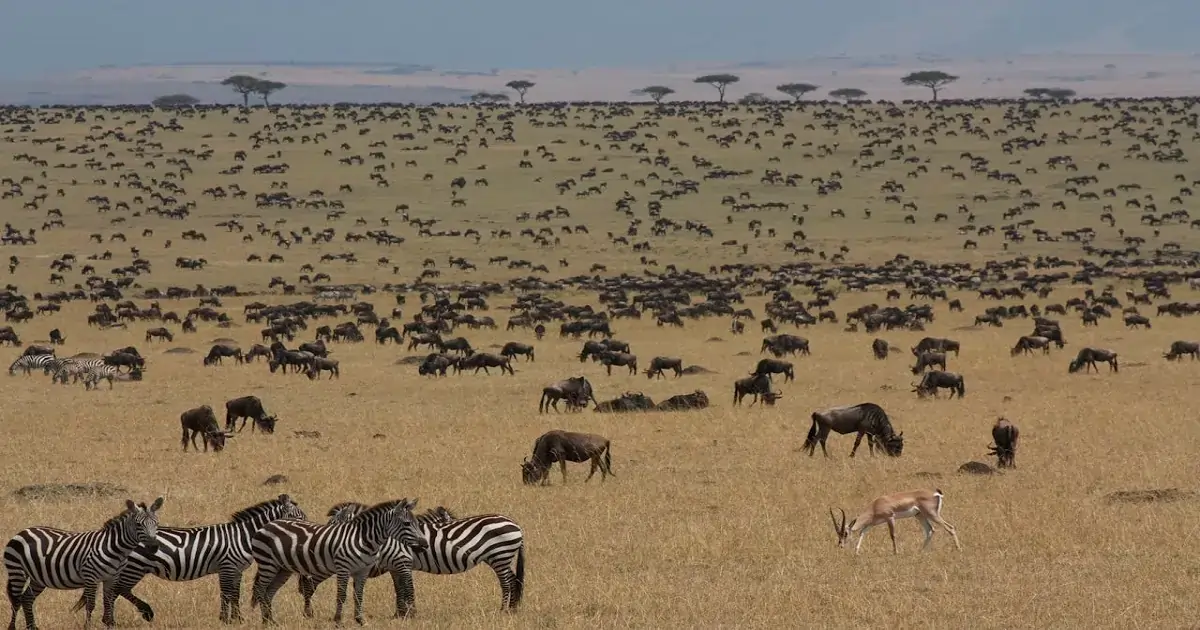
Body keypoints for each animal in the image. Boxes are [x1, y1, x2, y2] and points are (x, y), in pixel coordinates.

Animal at [4, 498, 163, 630]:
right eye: (138, 524)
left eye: (156, 523)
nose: (154, 546)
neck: (115, 549)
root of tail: (24, 531)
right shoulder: (91, 577)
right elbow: (90, 605)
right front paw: (88, 627)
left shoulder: (111, 578)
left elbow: (108, 603)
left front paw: (110, 624)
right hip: (17, 571)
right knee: (16, 601)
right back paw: (12, 628)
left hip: (38, 577)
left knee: (27, 599)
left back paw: (32, 627)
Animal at [97, 494, 307, 626]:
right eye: (300, 517)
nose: (307, 533)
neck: (243, 536)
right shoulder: (227, 566)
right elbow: (226, 594)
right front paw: (225, 620)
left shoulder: (237, 569)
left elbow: (235, 594)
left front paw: (237, 619)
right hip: (135, 567)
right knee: (118, 590)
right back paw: (129, 616)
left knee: (116, 590)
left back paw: (112, 619)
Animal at [249, 498, 427, 626]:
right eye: (407, 523)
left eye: (417, 523)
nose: (425, 544)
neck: (363, 539)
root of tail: (268, 524)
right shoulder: (343, 568)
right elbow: (341, 595)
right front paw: (338, 620)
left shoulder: (362, 571)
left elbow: (358, 595)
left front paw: (360, 620)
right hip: (267, 563)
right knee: (260, 589)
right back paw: (265, 621)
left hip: (282, 569)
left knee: (269, 591)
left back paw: (270, 621)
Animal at [298, 503, 525, 616]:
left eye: (332, 525)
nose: (320, 541)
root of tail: (516, 525)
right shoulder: (394, 566)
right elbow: (399, 589)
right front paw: (399, 614)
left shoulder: (402, 561)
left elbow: (408, 588)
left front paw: (410, 614)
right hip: (501, 556)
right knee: (514, 580)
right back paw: (513, 609)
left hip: (499, 555)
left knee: (506, 582)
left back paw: (503, 610)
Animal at [830, 488, 961, 554]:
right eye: (838, 534)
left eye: (845, 533)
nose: (840, 545)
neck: (875, 506)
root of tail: (936, 493)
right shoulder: (872, 524)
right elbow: (862, 532)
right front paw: (856, 551)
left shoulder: (890, 518)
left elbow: (892, 535)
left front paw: (895, 552)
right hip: (920, 516)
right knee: (930, 530)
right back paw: (920, 551)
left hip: (932, 515)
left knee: (950, 527)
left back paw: (959, 549)